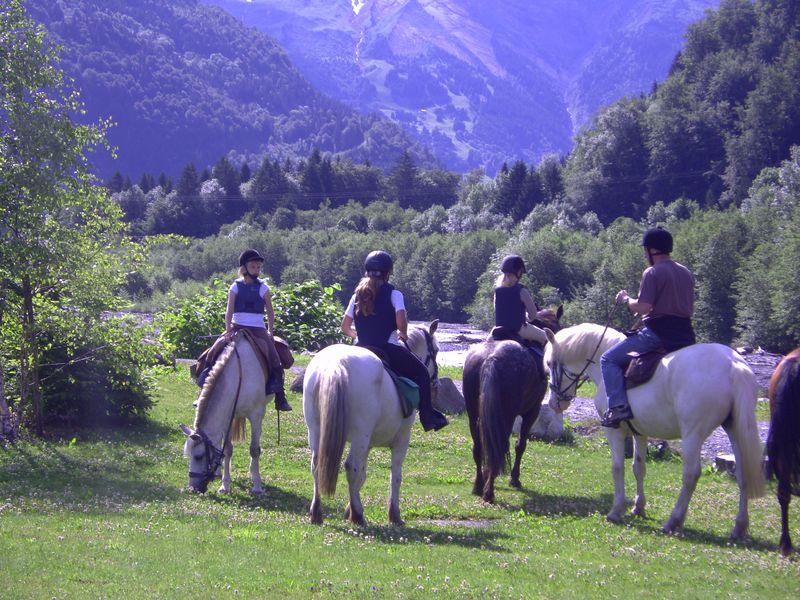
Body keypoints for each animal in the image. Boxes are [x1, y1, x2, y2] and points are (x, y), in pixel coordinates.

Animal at [180, 330, 270, 494]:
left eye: (199, 456)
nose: (193, 488)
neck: (240, 376)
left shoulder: (256, 416)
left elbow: (254, 450)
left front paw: (257, 486)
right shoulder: (228, 417)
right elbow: (227, 449)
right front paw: (225, 485)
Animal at [304, 318, 440, 524]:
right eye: (436, 350)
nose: (436, 383)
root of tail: (337, 364)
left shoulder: (367, 444)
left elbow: (363, 475)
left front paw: (349, 509)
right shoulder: (401, 439)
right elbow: (395, 477)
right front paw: (394, 514)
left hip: (317, 429)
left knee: (317, 464)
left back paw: (317, 512)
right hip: (360, 434)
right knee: (351, 467)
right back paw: (358, 516)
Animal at [462, 310, 564, 502]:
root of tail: (491, 358)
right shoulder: (532, 411)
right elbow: (520, 445)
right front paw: (515, 479)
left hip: (473, 414)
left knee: (479, 447)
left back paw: (479, 485)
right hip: (506, 416)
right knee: (499, 445)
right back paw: (489, 491)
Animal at [544, 324, 764, 540]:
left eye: (550, 364)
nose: (554, 403)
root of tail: (734, 365)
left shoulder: (614, 431)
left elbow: (617, 467)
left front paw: (617, 510)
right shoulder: (640, 432)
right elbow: (638, 467)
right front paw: (638, 507)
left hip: (693, 434)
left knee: (691, 474)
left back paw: (674, 521)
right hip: (734, 430)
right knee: (742, 474)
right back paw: (739, 527)